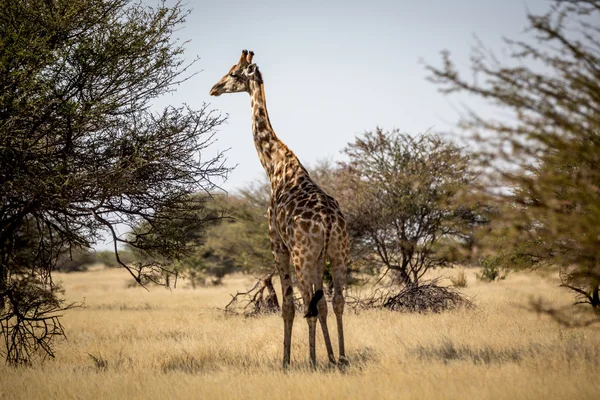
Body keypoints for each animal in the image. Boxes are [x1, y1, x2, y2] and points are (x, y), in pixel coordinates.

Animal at [210, 50, 346, 368]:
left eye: (233, 73)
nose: (214, 89)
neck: (275, 166)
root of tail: (329, 221)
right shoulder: (318, 255)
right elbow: (322, 304)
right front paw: (329, 356)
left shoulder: (277, 244)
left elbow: (288, 306)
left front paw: (287, 361)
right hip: (338, 252)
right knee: (334, 301)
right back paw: (341, 357)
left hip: (301, 255)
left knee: (310, 303)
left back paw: (313, 361)